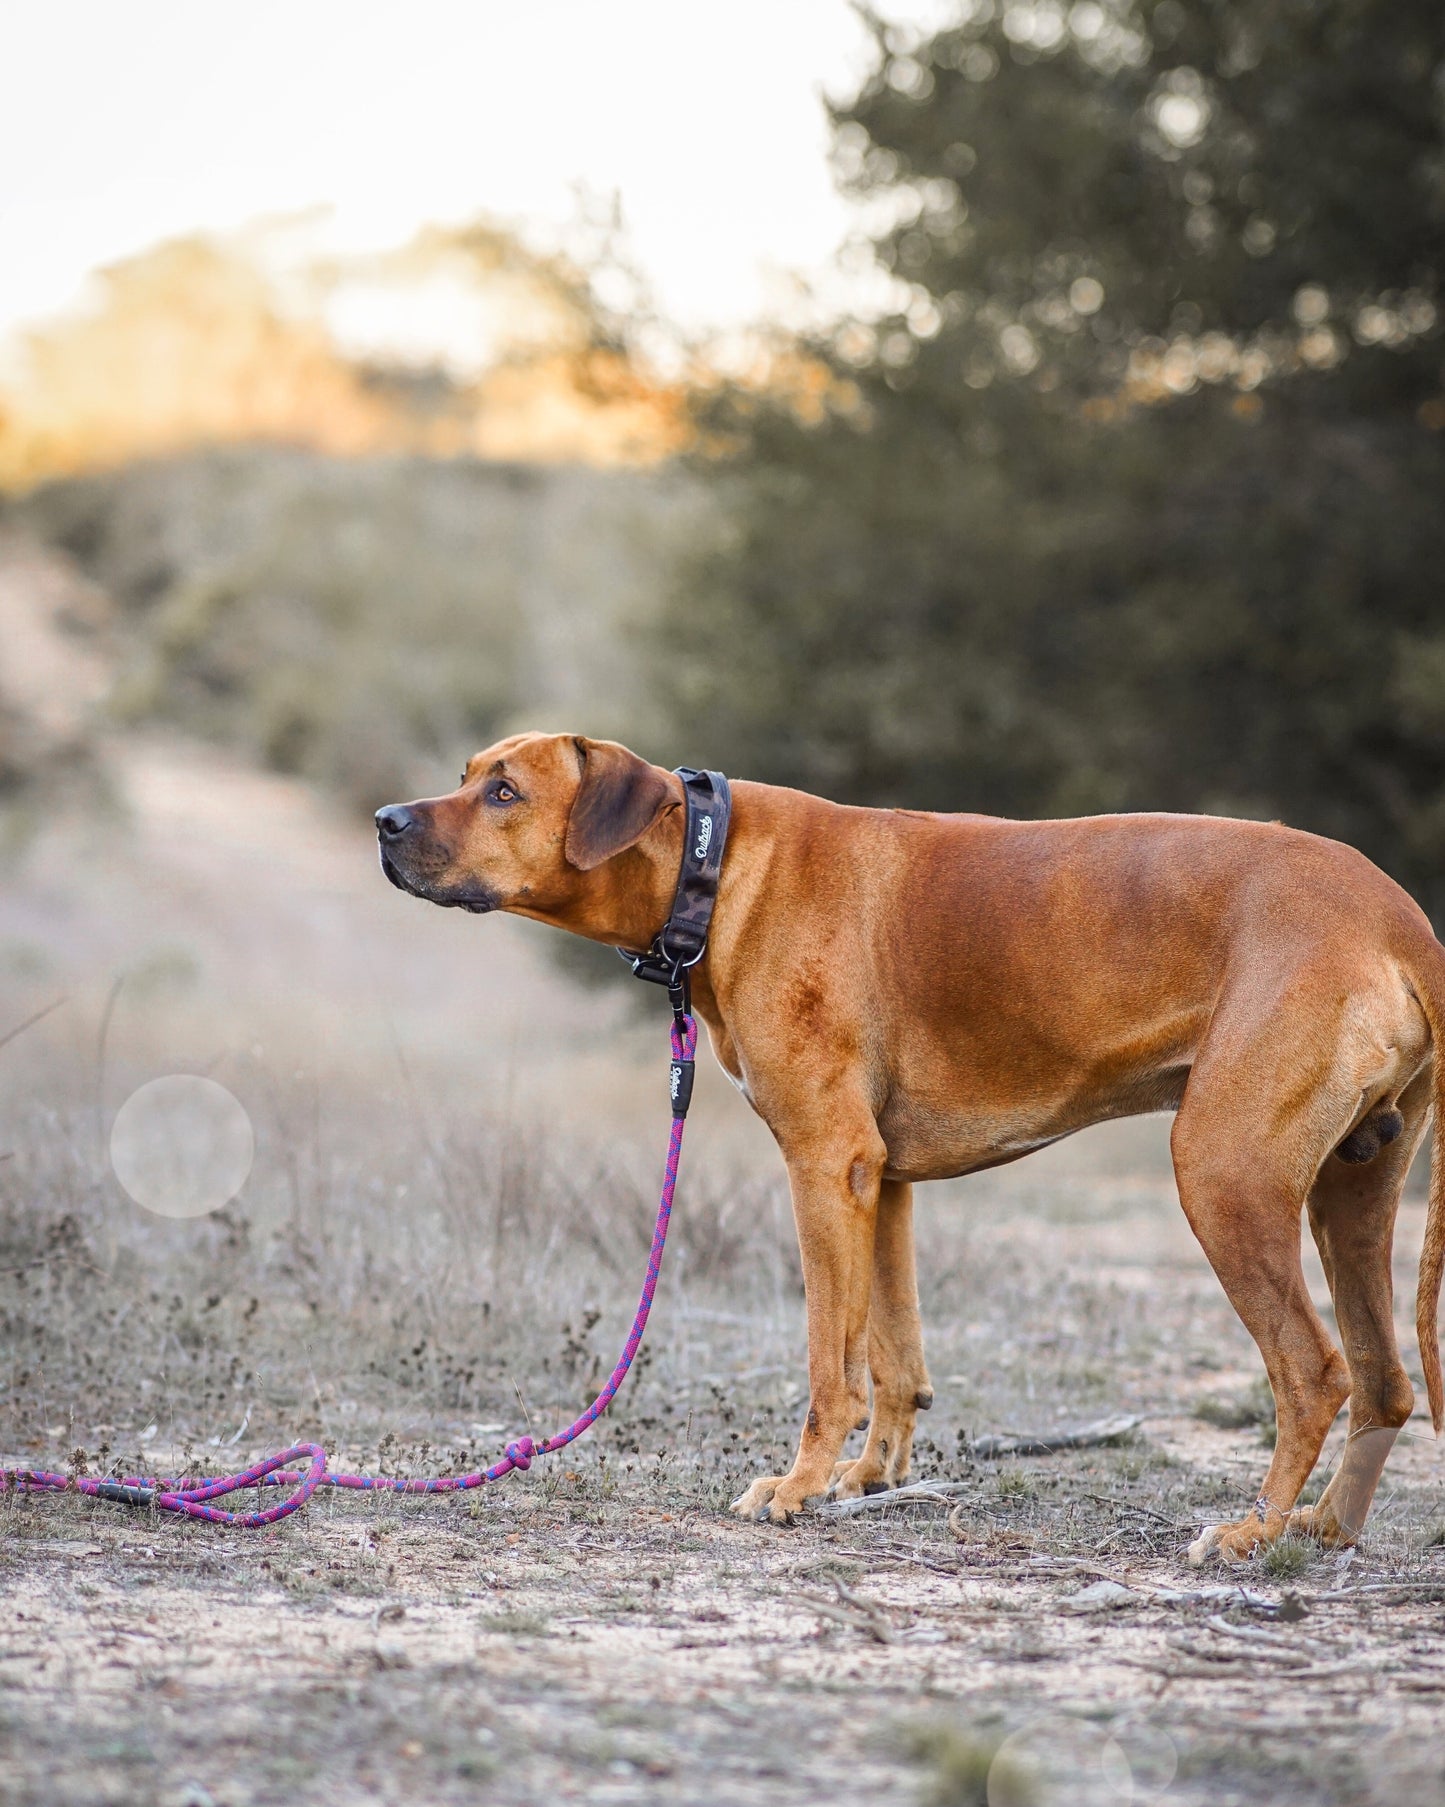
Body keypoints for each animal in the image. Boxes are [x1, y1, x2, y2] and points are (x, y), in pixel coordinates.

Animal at [375, 726, 1445, 1561]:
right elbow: (892, 1352)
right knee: (1385, 1384)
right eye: (468, 772)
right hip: (1352, 1190)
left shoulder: (822, 1163)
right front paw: (868, 1475)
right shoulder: (879, 1178)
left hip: (1224, 1175)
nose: (385, 820)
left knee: (1313, 1371)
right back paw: (1324, 1528)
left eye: (504, 790)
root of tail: (1401, 919)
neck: (711, 868)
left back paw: (1254, 1529)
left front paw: (799, 1484)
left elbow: (827, 1362)